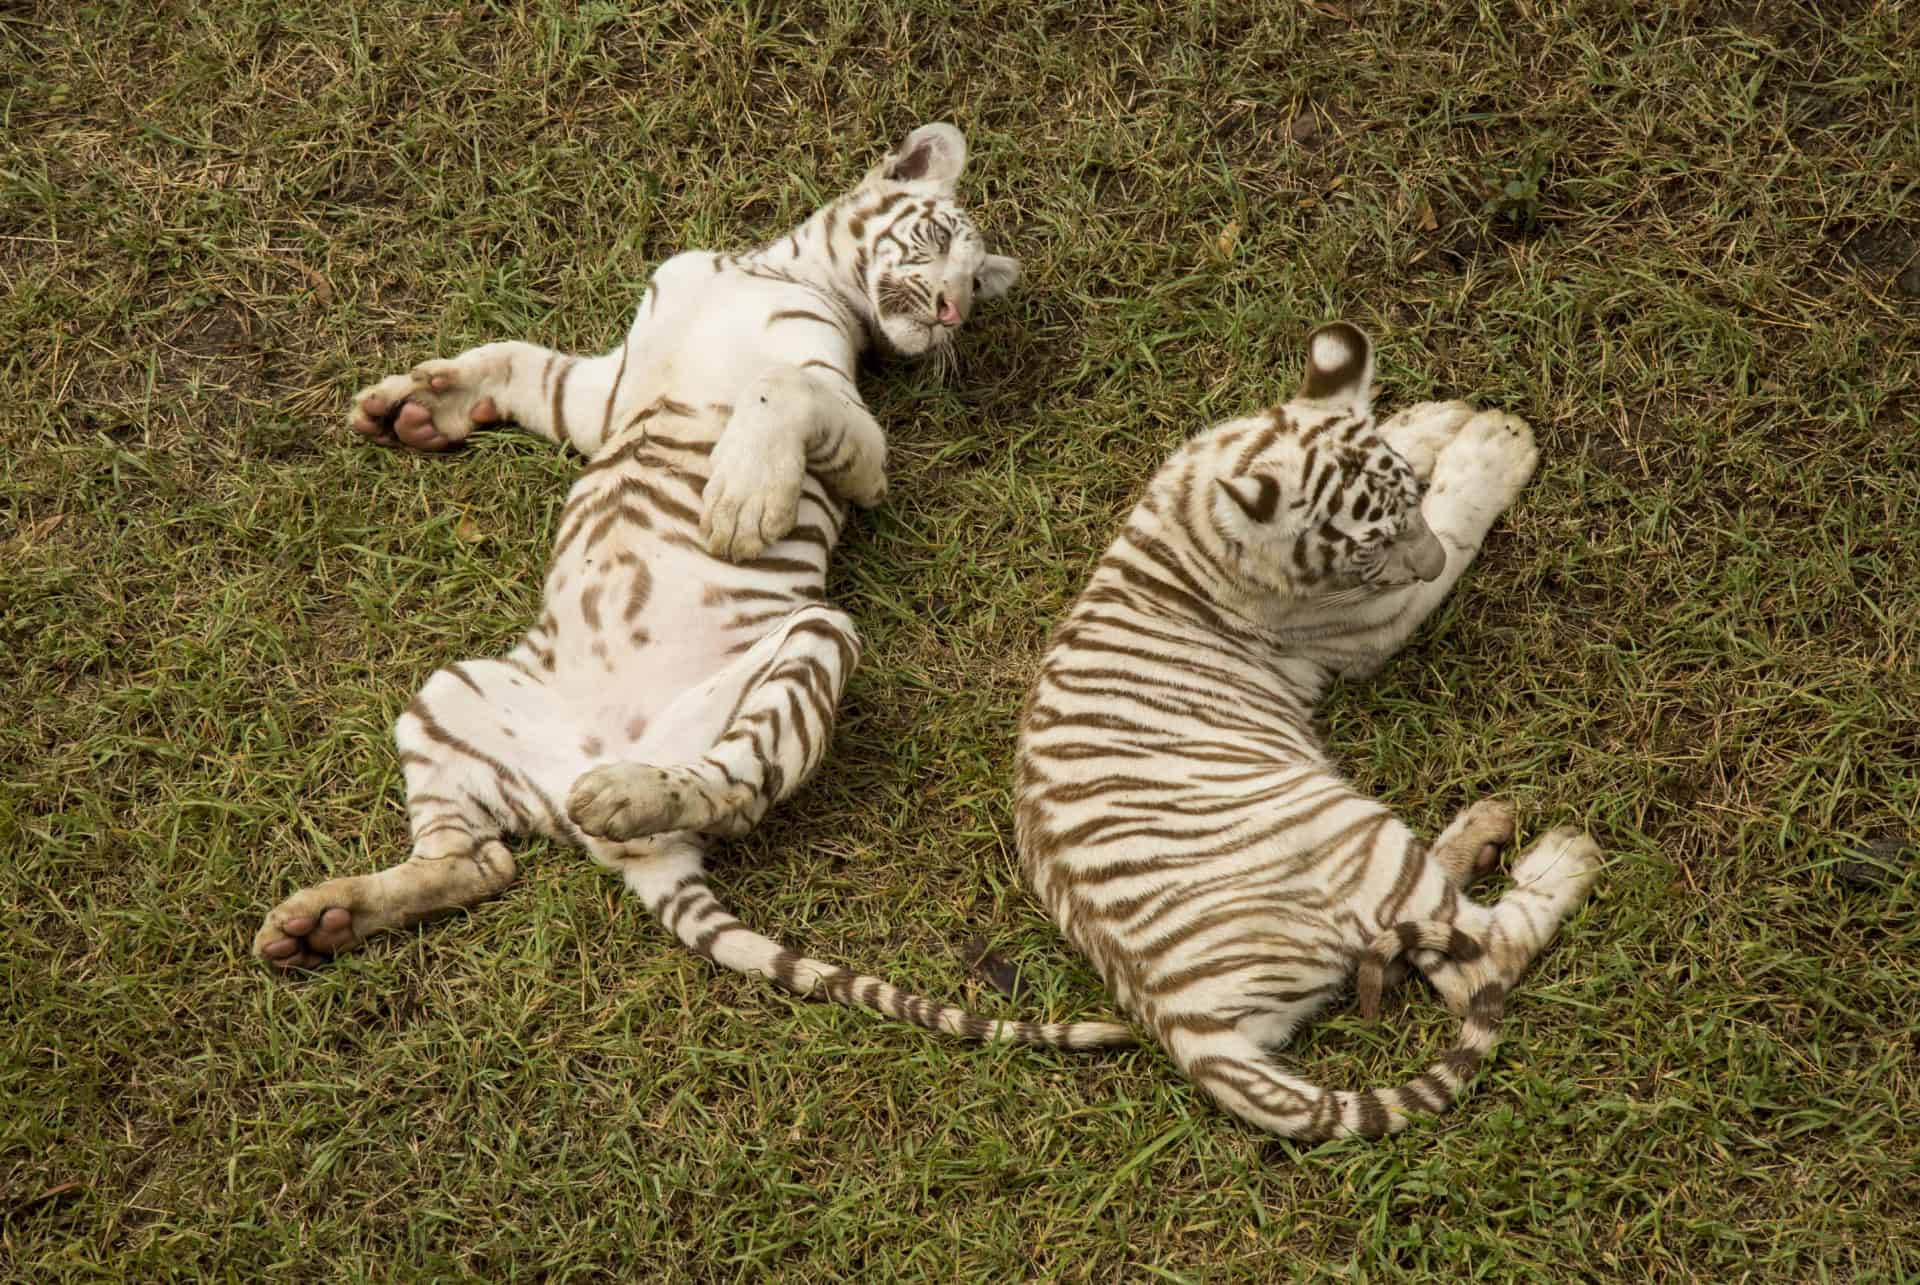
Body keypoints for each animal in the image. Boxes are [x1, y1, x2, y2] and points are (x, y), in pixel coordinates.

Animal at [247, 124, 1128, 1052]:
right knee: (479, 860)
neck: (771, 271)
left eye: (974, 282)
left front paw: (742, 502)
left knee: (729, 783)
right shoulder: (603, 391)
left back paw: (625, 791)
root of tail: (629, 846)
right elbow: (519, 363)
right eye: (940, 242)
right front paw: (413, 405)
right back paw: (323, 919)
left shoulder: (855, 436)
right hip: (447, 694)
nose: (956, 310)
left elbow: (781, 387)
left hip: (813, 640)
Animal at [1021, 326, 1605, 1137]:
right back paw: (1564, 859)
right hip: (1345, 830)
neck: (1203, 503)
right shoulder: (1375, 615)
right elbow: (1459, 522)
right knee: (1477, 959)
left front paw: (1433, 418)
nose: (1419, 559)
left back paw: (1486, 829)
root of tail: (1180, 1023)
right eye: (1367, 547)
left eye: (1404, 503)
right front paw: (1496, 443)